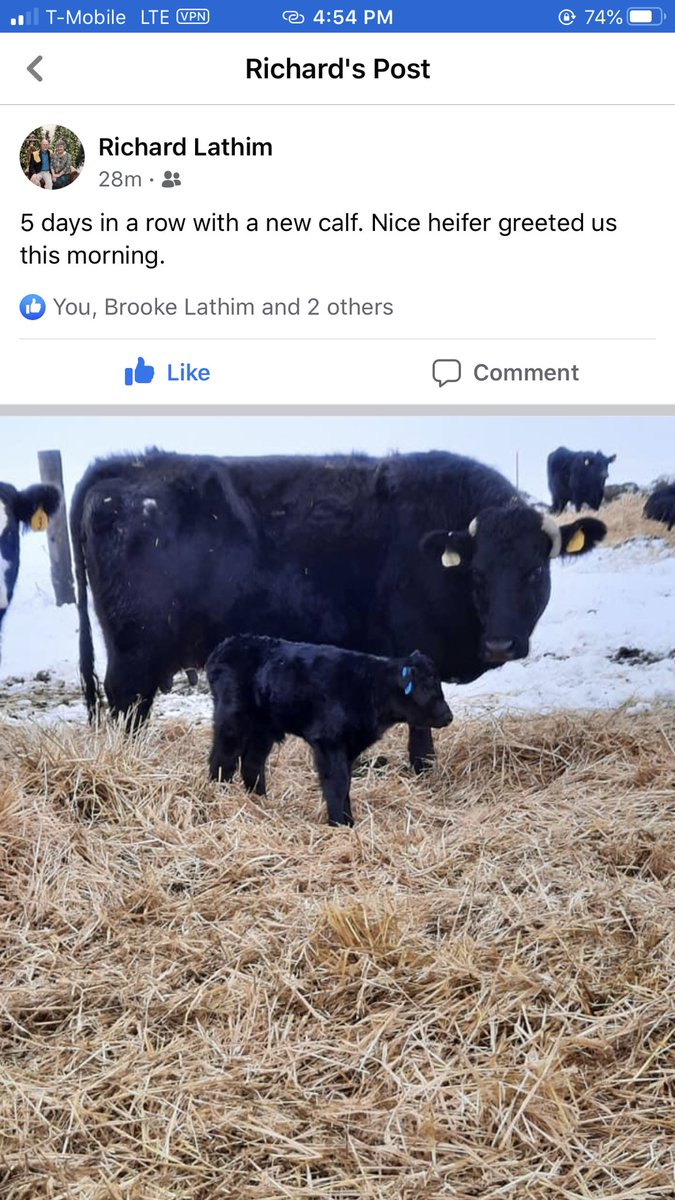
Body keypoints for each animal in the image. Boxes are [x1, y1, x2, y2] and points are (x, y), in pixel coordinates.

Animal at [70, 449, 606, 769]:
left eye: (534, 571)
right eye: (477, 573)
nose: (499, 644)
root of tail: (127, 465)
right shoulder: (417, 652)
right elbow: (419, 726)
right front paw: (422, 768)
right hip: (135, 657)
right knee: (126, 712)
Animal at [206, 636, 453, 826]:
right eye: (427, 687)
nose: (448, 716)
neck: (371, 688)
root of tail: (226, 646)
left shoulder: (350, 747)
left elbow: (346, 784)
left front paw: (347, 820)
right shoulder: (328, 742)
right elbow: (337, 783)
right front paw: (340, 823)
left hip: (263, 729)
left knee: (252, 764)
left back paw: (260, 801)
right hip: (232, 720)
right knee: (222, 758)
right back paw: (218, 795)